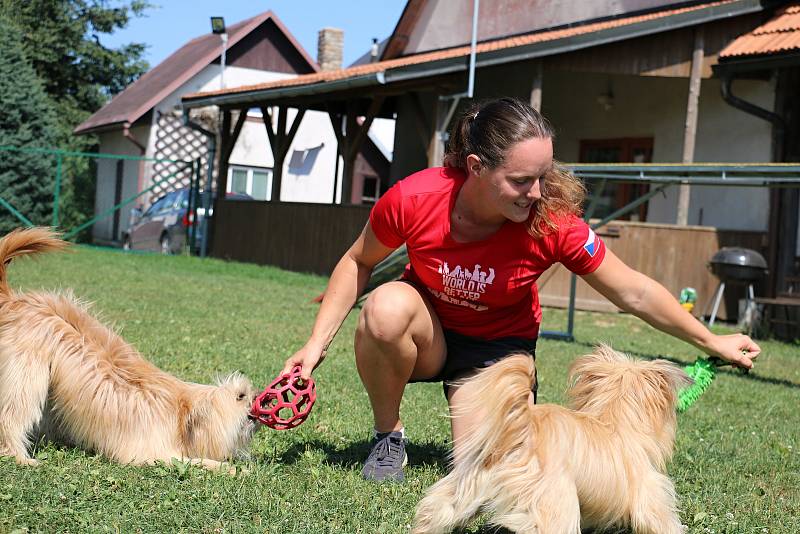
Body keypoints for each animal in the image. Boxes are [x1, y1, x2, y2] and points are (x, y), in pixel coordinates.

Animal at [0, 228, 258, 472]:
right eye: (241, 395)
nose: (258, 399)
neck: (181, 416)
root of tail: (15, 301)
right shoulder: (153, 453)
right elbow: (193, 462)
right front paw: (231, 469)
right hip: (27, 374)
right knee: (11, 414)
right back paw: (20, 456)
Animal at [410, 348, 692, 534]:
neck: (613, 418)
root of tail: (521, 434)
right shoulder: (648, 491)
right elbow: (663, 521)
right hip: (555, 506)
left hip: (466, 489)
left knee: (436, 511)